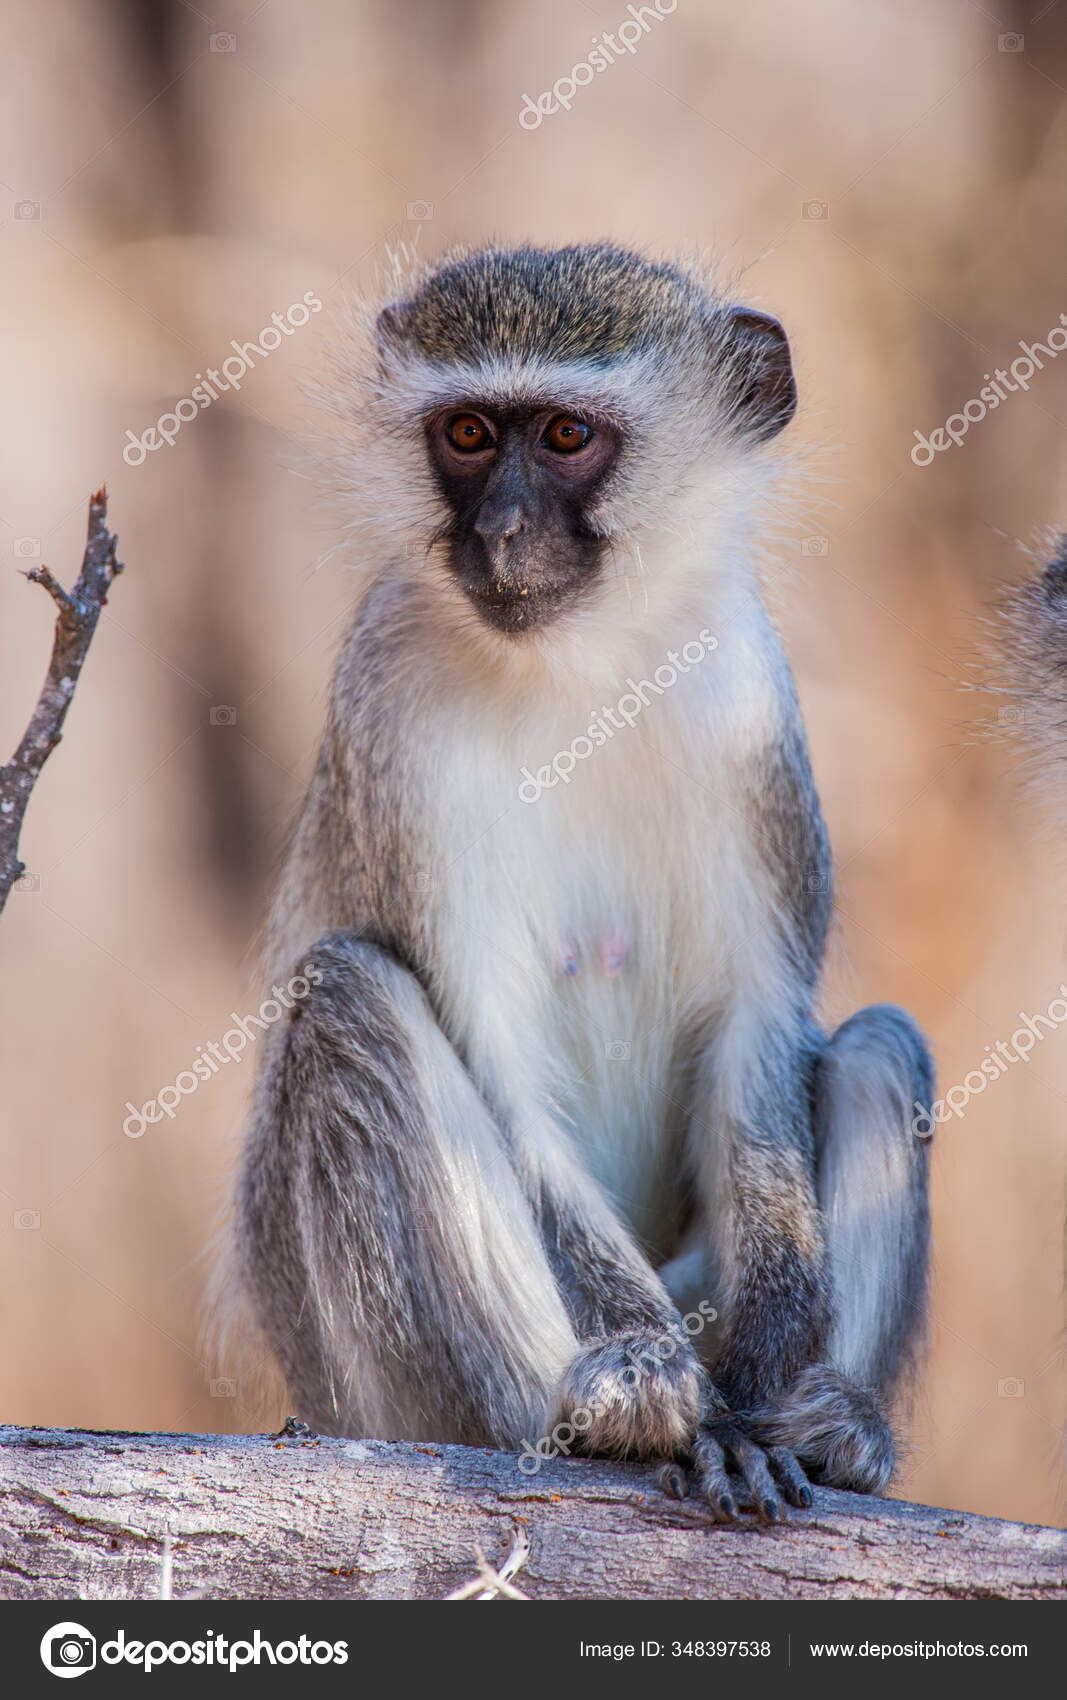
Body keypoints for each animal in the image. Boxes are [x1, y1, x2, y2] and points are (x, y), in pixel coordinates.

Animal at [229, 236, 931, 1516]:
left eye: (563, 436)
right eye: (465, 434)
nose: (502, 530)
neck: (580, 665)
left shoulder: (749, 709)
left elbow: (758, 1029)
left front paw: (766, 1377)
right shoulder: (390, 712)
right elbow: (503, 1068)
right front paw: (678, 1398)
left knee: (875, 1046)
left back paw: (836, 1425)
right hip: (384, 1394)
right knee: (346, 996)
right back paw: (612, 1408)